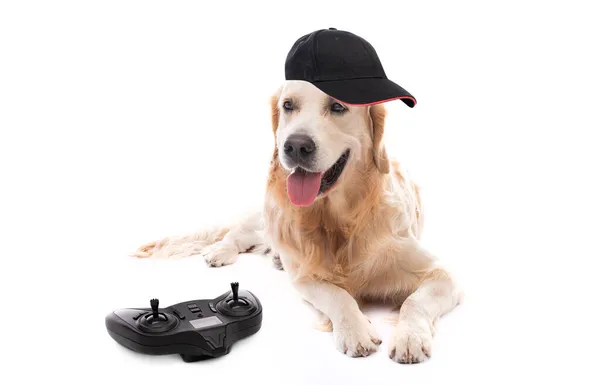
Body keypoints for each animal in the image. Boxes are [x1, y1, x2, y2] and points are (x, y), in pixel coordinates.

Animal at [135, 79, 464, 362]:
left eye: (337, 107)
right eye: (288, 105)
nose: (295, 146)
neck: (342, 219)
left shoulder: (440, 273)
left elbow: (415, 301)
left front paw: (410, 337)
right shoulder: (307, 277)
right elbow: (339, 296)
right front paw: (355, 330)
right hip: (269, 218)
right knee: (237, 233)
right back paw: (221, 251)